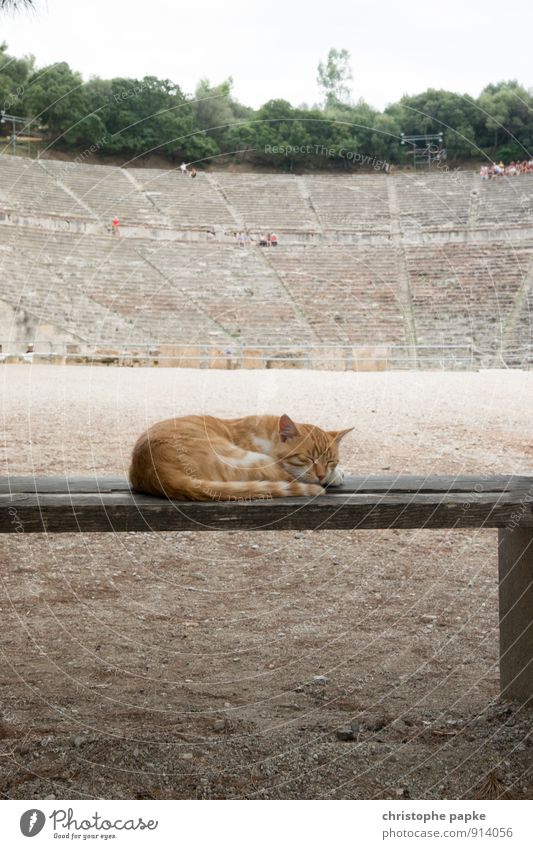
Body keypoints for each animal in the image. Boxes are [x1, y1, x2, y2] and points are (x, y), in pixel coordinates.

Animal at [129, 414, 352, 500]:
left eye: (330, 461)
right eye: (308, 458)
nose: (322, 474)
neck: (268, 435)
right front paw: (333, 477)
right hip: (250, 460)